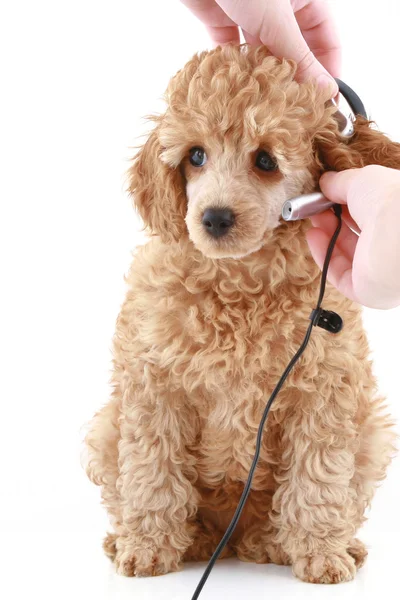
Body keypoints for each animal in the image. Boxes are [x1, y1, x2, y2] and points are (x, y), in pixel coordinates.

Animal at [84, 48, 396, 584]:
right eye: (195, 156)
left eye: (266, 160)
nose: (213, 218)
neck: (239, 285)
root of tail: (231, 541)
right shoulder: (153, 387)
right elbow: (152, 471)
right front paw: (147, 548)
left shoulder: (325, 392)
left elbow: (318, 477)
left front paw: (321, 554)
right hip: (107, 426)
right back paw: (144, 539)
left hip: (371, 432)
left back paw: (299, 543)